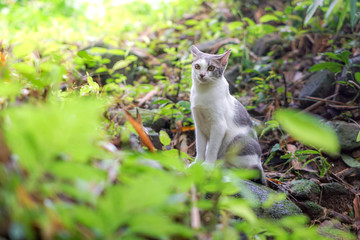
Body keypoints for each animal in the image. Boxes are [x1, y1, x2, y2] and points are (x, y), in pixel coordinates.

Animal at [190, 44, 266, 184]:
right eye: (197, 66)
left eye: (211, 68)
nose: (202, 75)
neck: (203, 93)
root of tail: (260, 162)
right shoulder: (199, 125)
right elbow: (200, 147)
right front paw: (197, 164)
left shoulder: (219, 126)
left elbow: (211, 149)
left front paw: (207, 166)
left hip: (238, 141)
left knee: (248, 170)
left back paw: (221, 166)